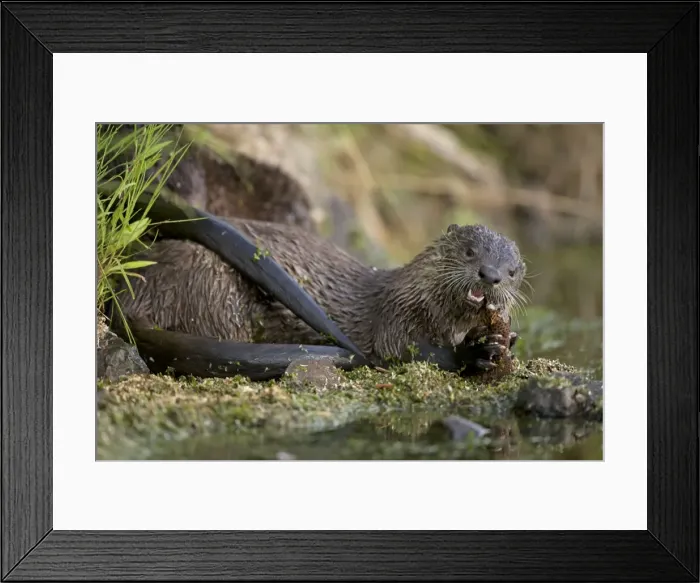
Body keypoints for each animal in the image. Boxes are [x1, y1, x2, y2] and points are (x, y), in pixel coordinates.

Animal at [115, 194, 525, 380]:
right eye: (469, 251)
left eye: (512, 271)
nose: (490, 274)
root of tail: (135, 293)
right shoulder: (396, 317)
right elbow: (405, 352)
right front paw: (472, 355)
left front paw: (504, 341)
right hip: (213, 286)